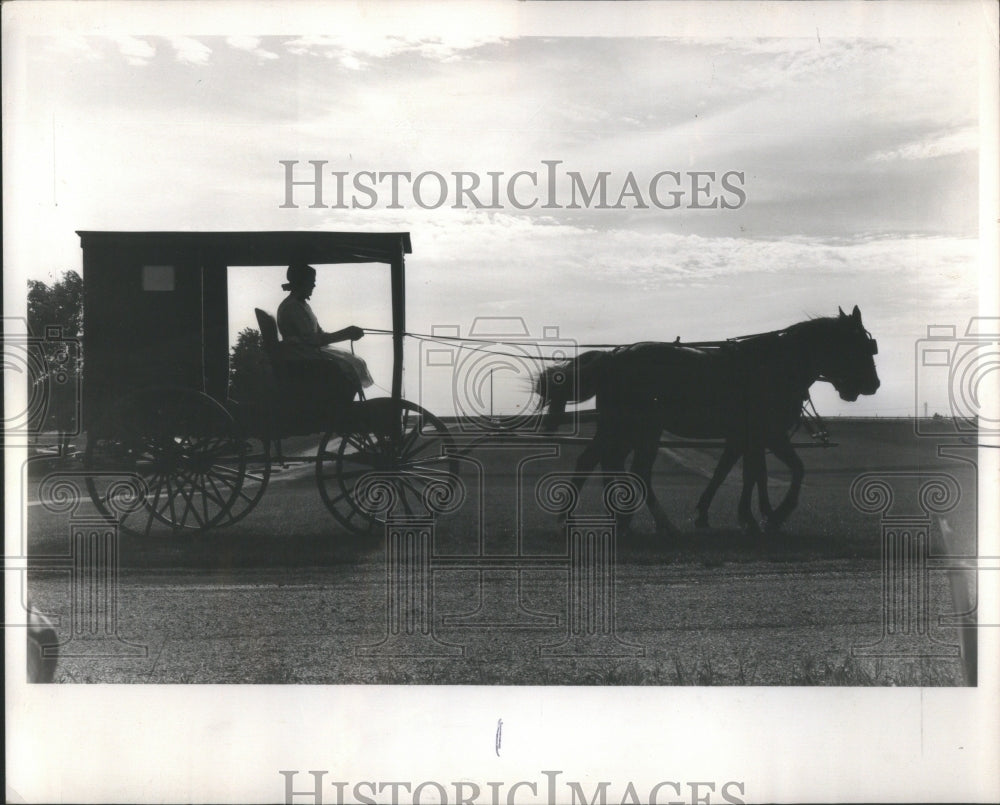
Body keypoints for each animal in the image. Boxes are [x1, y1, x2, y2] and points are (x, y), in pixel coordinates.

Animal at [536, 304, 880, 536]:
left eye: (869, 346)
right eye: (859, 346)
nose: (873, 385)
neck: (773, 366)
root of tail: (613, 356)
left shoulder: (747, 437)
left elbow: (740, 472)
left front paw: (735, 514)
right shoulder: (767, 434)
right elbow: (787, 470)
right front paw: (771, 515)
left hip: (623, 428)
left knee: (601, 460)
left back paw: (614, 517)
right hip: (637, 429)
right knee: (626, 467)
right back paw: (646, 521)